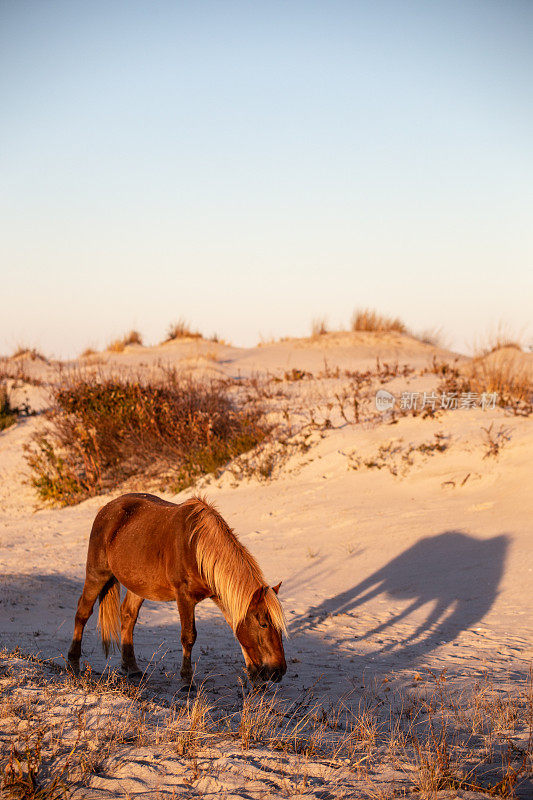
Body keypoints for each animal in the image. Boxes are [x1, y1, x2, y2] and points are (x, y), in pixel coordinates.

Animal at [70, 490, 286, 684]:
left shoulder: (221, 596)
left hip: (138, 585)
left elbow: (236, 628)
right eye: (263, 624)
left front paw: (253, 674)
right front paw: (186, 680)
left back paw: (132, 668)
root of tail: (107, 508)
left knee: (127, 616)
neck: (197, 549)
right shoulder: (184, 597)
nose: (279, 671)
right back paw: (73, 664)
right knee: (82, 613)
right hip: (97, 574)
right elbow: (188, 637)